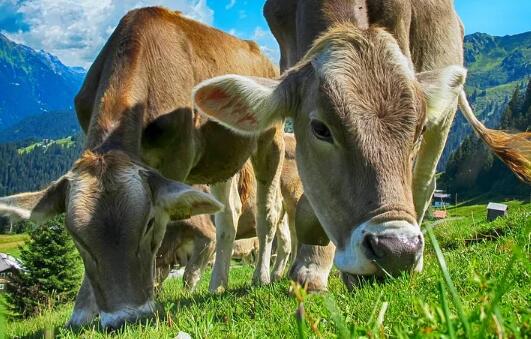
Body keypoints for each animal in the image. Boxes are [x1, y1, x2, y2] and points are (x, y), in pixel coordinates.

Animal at [0, 5, 284, 330]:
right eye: (76, 238)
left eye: (147, 223)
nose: (126, 317)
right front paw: (82, 312)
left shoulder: (176, 161)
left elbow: (162, 231)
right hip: (221, 159)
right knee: (229, 215)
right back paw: (218, 284)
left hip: (270, 139)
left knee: (268, 211)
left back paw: (261, 276)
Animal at [192, 0, 531, 292]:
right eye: (320, 129)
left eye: (417, 130)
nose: (397, 251)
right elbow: (309, 202)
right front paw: (311, 269)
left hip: (445, 108)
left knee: (424, 182)